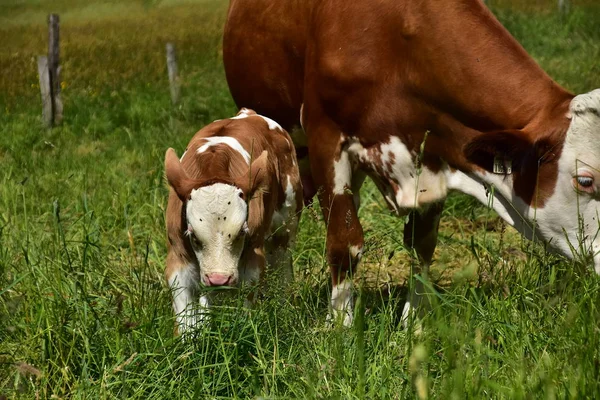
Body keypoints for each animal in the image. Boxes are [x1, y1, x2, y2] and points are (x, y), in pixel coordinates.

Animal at [164, 107, 302, 334]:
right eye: (193, 234)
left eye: (241, 233)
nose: (219, 279)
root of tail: (248, 113)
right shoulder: (178, 260)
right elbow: (186, 323)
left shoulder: (253, 260)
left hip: (285, 226)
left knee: (283, 267)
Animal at [223, 0, 600, 324]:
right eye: (586, 180)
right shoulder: (326, 139)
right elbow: (344, 243)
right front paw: (341, 329)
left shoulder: (435, 154)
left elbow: (423, 245)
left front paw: (412, 326)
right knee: (283, 231)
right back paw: (281, 298)